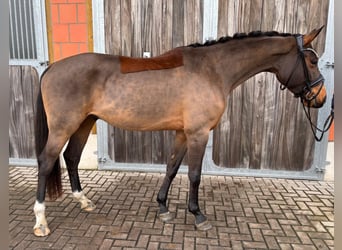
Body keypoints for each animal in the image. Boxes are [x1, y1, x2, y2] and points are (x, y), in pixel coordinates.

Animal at [33, 27, 328, 236]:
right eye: (312, 61)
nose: (321, 98)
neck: (212, 70)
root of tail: (53, 67)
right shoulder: (199, 133)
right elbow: (194, 175)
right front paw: (198, 215)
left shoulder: (183, 133)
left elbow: (172, 168)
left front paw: (163, 207)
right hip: (63, 127)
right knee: (46, 162)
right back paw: (41, 221)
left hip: (84, 123)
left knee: (71, 157)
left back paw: (84, 201)